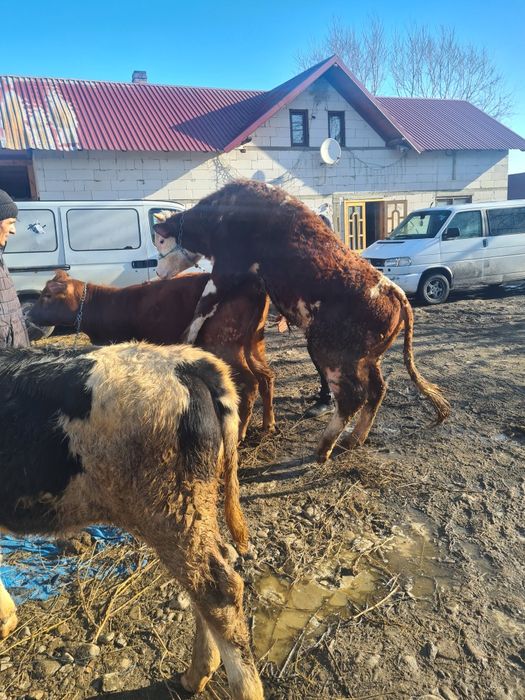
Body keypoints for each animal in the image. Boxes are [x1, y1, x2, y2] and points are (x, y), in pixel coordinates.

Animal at [0, 342, 264, 700]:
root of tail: (187, 360)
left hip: (170, 510)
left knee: (216, 590)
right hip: (194, 508)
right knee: (210, 576)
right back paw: (195, 675)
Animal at [29, 270, 275, 441]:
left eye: (47, 295)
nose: (29, 314)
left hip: (226, 343)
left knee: (250, 382)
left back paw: (241, 431)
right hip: (254, 344)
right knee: (266, 377)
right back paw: (268, 424)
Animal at [153, 179, 450, 463]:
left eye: (159, 242)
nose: (157, 271)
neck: (224, 211)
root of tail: (392, 290)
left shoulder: (229, 265)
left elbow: (204, 302)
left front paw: (188, 335)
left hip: (332, 353)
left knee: (352, 397)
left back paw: (324, 448)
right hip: (366, 358)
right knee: (377, 391)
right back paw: (352, 439)